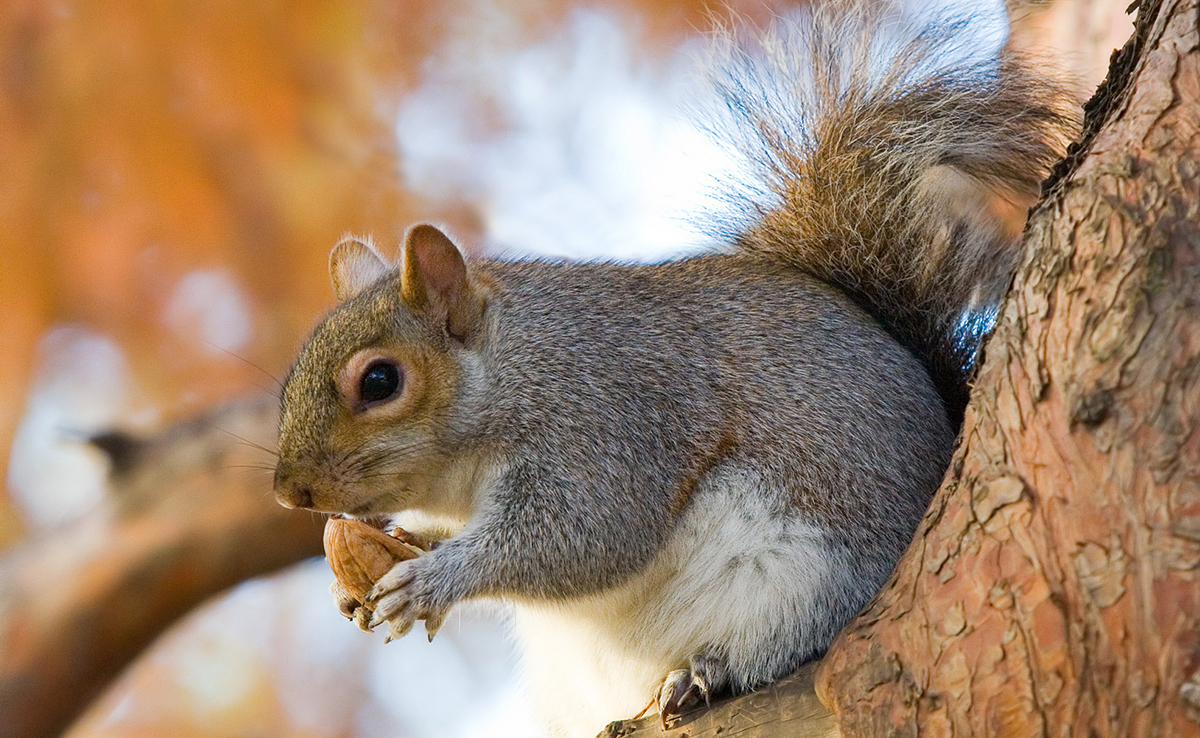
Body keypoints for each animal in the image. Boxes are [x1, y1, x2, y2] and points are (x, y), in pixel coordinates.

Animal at [274, 2, 1080, 734]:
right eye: (288, 382)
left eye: (380, 381)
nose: (289, 492)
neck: (512, 372)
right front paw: (388, 560)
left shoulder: (607, 417)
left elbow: (586, 533)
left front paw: (435, 580)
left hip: (803, 578)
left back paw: (706, 673)